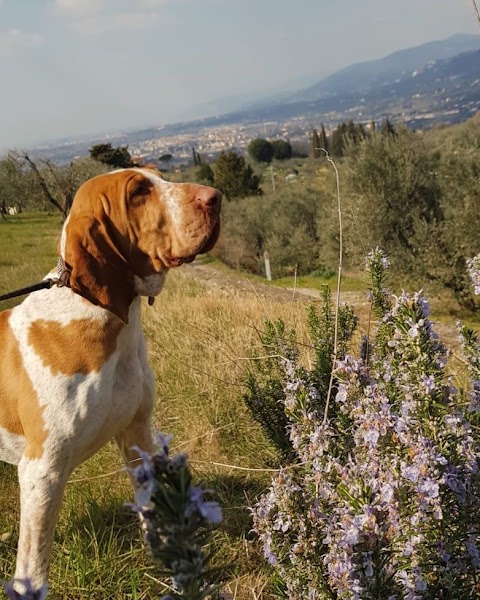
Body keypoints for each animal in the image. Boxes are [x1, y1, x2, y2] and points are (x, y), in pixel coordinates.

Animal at [0, 166, 221, 596]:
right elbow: (33, 565)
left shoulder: (137, 436)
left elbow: (155, 513)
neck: (101, 315)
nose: (216, 196)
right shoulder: (41, 471)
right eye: (138, 192)